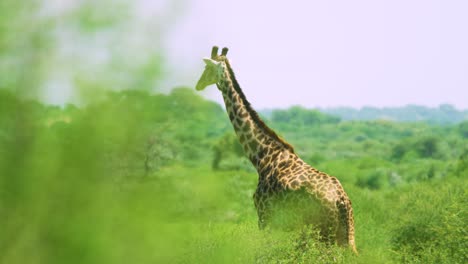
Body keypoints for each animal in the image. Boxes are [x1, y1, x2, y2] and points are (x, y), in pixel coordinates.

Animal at [196, 46, 356, 254]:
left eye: (207, 68)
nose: (198, 85)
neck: (262, 157)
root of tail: (341, 200)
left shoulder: (264, 216)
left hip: (323, 233)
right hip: (346, 235)